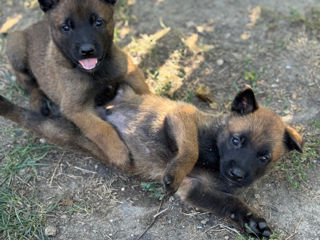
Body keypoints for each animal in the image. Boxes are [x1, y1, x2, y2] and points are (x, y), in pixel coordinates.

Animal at [0, 86, 302, 238]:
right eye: (237, 140)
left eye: (263, 157)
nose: (237, 174)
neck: (216, 156)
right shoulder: (182, 116)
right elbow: (190, 150)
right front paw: (172, 173)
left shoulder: (194, 189)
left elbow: (232, 202)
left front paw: (252, 221)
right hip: (63, 129)